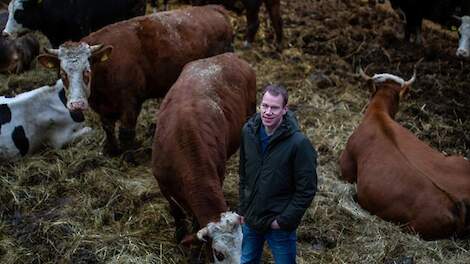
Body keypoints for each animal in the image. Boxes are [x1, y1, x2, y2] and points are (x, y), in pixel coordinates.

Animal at [35, 6, 234, 157]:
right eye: (62, 73)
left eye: (87, 71)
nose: (77, 104)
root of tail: (215, 9)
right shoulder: (103, 107)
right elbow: (108, 127)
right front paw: (112, 150)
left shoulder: (131, 102)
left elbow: (126, 132)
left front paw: (129, 156)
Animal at [151, 52, 258, 262]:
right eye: (219, 254)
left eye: (244, 246)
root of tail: (229, 56)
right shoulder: (163, 185)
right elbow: (177, 213)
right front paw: (179, 237)